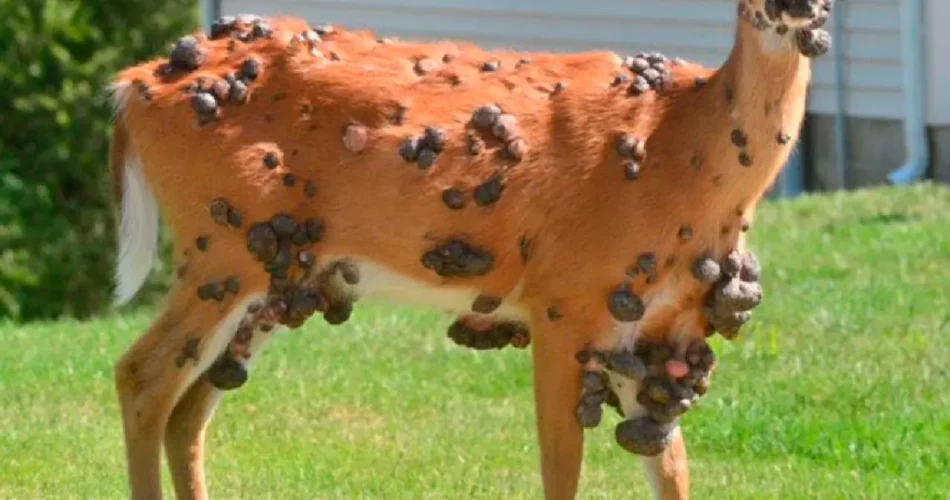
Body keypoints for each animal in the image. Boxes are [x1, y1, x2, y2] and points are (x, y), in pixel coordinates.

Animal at [107, 0, 833, 498]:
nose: (797, 6)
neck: (682, 150)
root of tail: (133, 85)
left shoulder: (661, 330)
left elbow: (671, 470)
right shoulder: (565, 300)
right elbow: (561, 470)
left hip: (278, 277)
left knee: (189, 411)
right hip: (219, 248)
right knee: (142, 376)